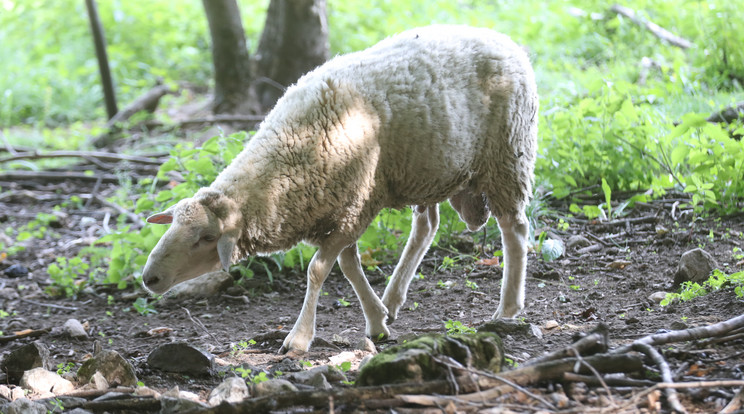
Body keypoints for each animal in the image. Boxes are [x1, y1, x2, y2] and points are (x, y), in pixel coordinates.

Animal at [141, 24, 536, 350]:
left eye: (207, 238)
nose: (149, 278)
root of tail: (505, 39)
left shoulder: (352, 207)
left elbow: (318, 270)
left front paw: (299, 338)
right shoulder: (342, 208)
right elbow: (348, 265)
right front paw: (377, 320)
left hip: (507, 156)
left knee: (514, 228)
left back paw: (508, 308)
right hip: (426, 169)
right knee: (427, 226)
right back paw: (393, 299)